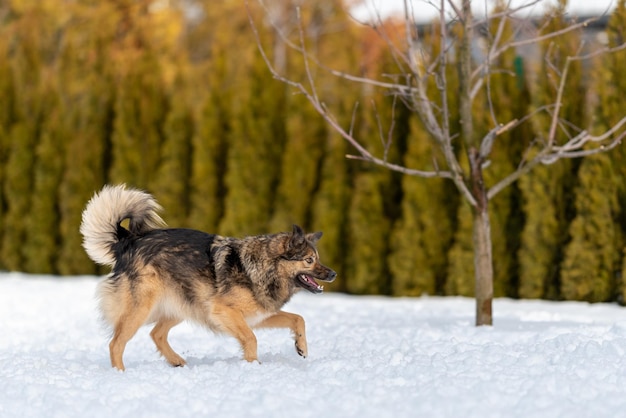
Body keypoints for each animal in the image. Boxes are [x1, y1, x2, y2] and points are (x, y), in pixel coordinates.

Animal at [80, 185, 334, 370]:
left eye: (317, 258)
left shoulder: (257, 316)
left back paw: (177, 362)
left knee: (156, 334)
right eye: (309, 260)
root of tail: (128, 241)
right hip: (142, 308)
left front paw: (301, 347)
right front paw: (253, 366)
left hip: (184, 304)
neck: (262, 266)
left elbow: (298, 318)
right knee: (116, 343)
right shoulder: (224, 312)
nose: (333, 274)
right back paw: (120, 373)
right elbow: (251, 339)